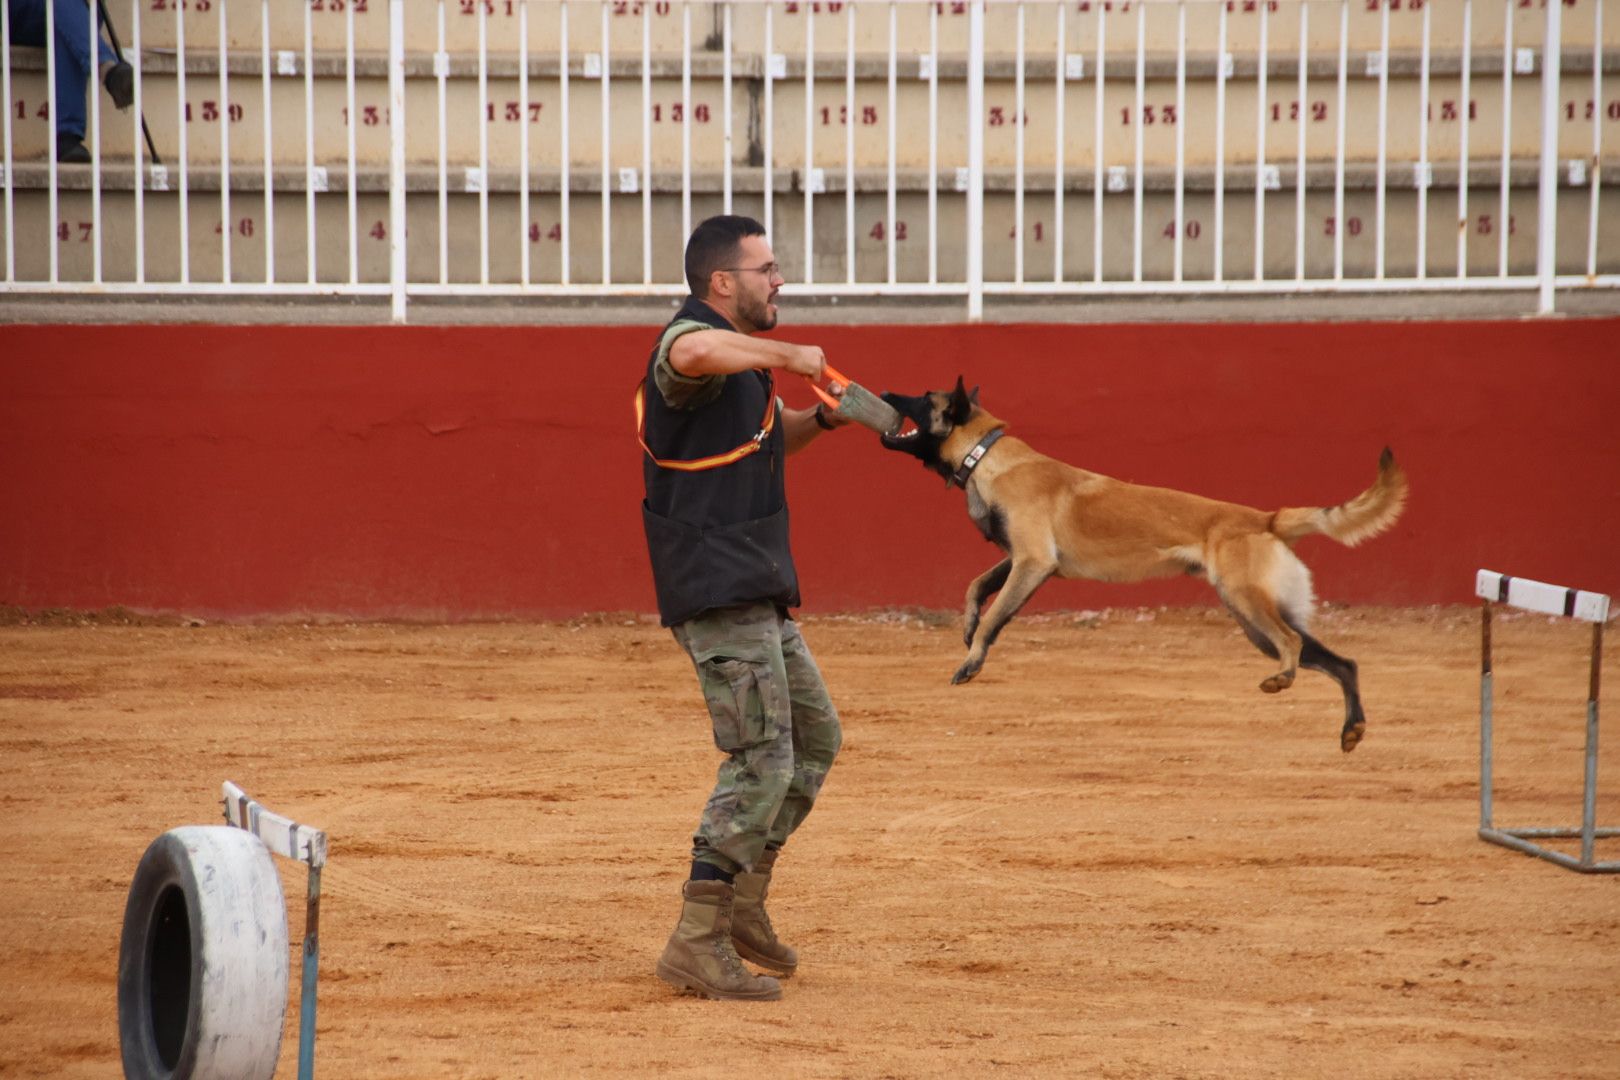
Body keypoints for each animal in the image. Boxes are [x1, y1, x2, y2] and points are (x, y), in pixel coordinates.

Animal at [874, 380, 1406, 751]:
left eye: (923, 396)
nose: (883, 393)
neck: (986, 454)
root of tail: (1265, 518)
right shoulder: (1019, 560)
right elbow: (975, 586)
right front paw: (966, 625)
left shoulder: (1032, 562)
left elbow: (993, 620)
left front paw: (971, 659)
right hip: (1258, 619)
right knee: (1343, 663)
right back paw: (1352, 728)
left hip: (1249, 605)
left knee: (1293, 645)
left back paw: (1284, 679)